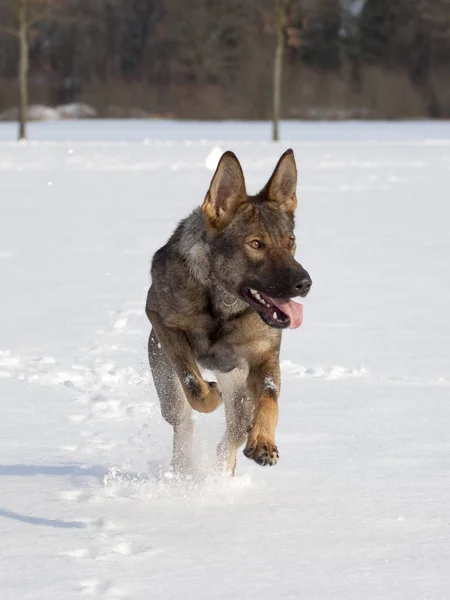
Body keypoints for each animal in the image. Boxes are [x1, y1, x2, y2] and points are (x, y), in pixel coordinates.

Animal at [146, 149, 312, 474]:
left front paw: (263, 443)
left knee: (233, 433)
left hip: (240, 392)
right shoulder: (162, 323)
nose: (305, 283)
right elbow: (193, 384)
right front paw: (210, 394)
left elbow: (270, 398)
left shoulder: (263, 356)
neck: (222, 303)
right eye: (256, 244)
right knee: (182, 421)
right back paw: (184, 470)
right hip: (165, 384)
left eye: (290, 242)